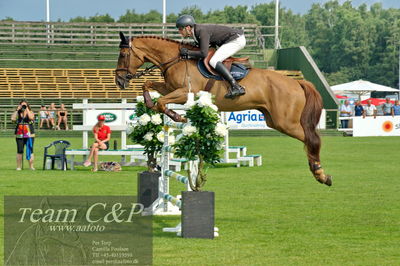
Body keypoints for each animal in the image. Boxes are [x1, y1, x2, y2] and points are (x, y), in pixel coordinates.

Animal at [115, 32, 332, 186]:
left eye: (124, 55)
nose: (119, 81)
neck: (175, 59)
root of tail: (297, 83)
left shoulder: (184, 93)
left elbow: (162, 102)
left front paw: (177, 117)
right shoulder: (170, 88)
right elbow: (148, 86)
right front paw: (150, 104)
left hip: (285, 121)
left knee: (312, 139)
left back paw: (320, 174)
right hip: (274, 120)